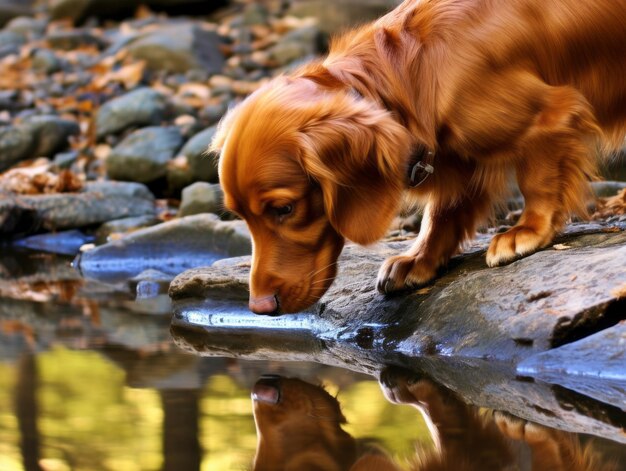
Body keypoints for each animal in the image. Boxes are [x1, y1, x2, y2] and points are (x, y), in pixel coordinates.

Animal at [214, 0, 624, 318]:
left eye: (284, 209)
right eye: (240, 216)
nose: (260, 307)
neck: (413, 73)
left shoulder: (550, 115)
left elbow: (537, 178)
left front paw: (528, 230)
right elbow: (443, 212)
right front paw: (419, 259)